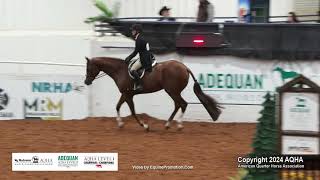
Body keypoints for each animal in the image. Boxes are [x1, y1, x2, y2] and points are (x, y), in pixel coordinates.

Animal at [84, 56, 221, 131]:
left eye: (88, 68)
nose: (86, 82)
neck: (119, 70)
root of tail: (185, 67)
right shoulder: (126, 94)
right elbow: (117, 107)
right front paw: (120, 124)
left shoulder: (128, 95)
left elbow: (132, 112)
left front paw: (145, 126)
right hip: (173, 91)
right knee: (178, 105)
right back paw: (169, 124)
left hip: (172, 91)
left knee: (182, 104)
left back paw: (178, 125)